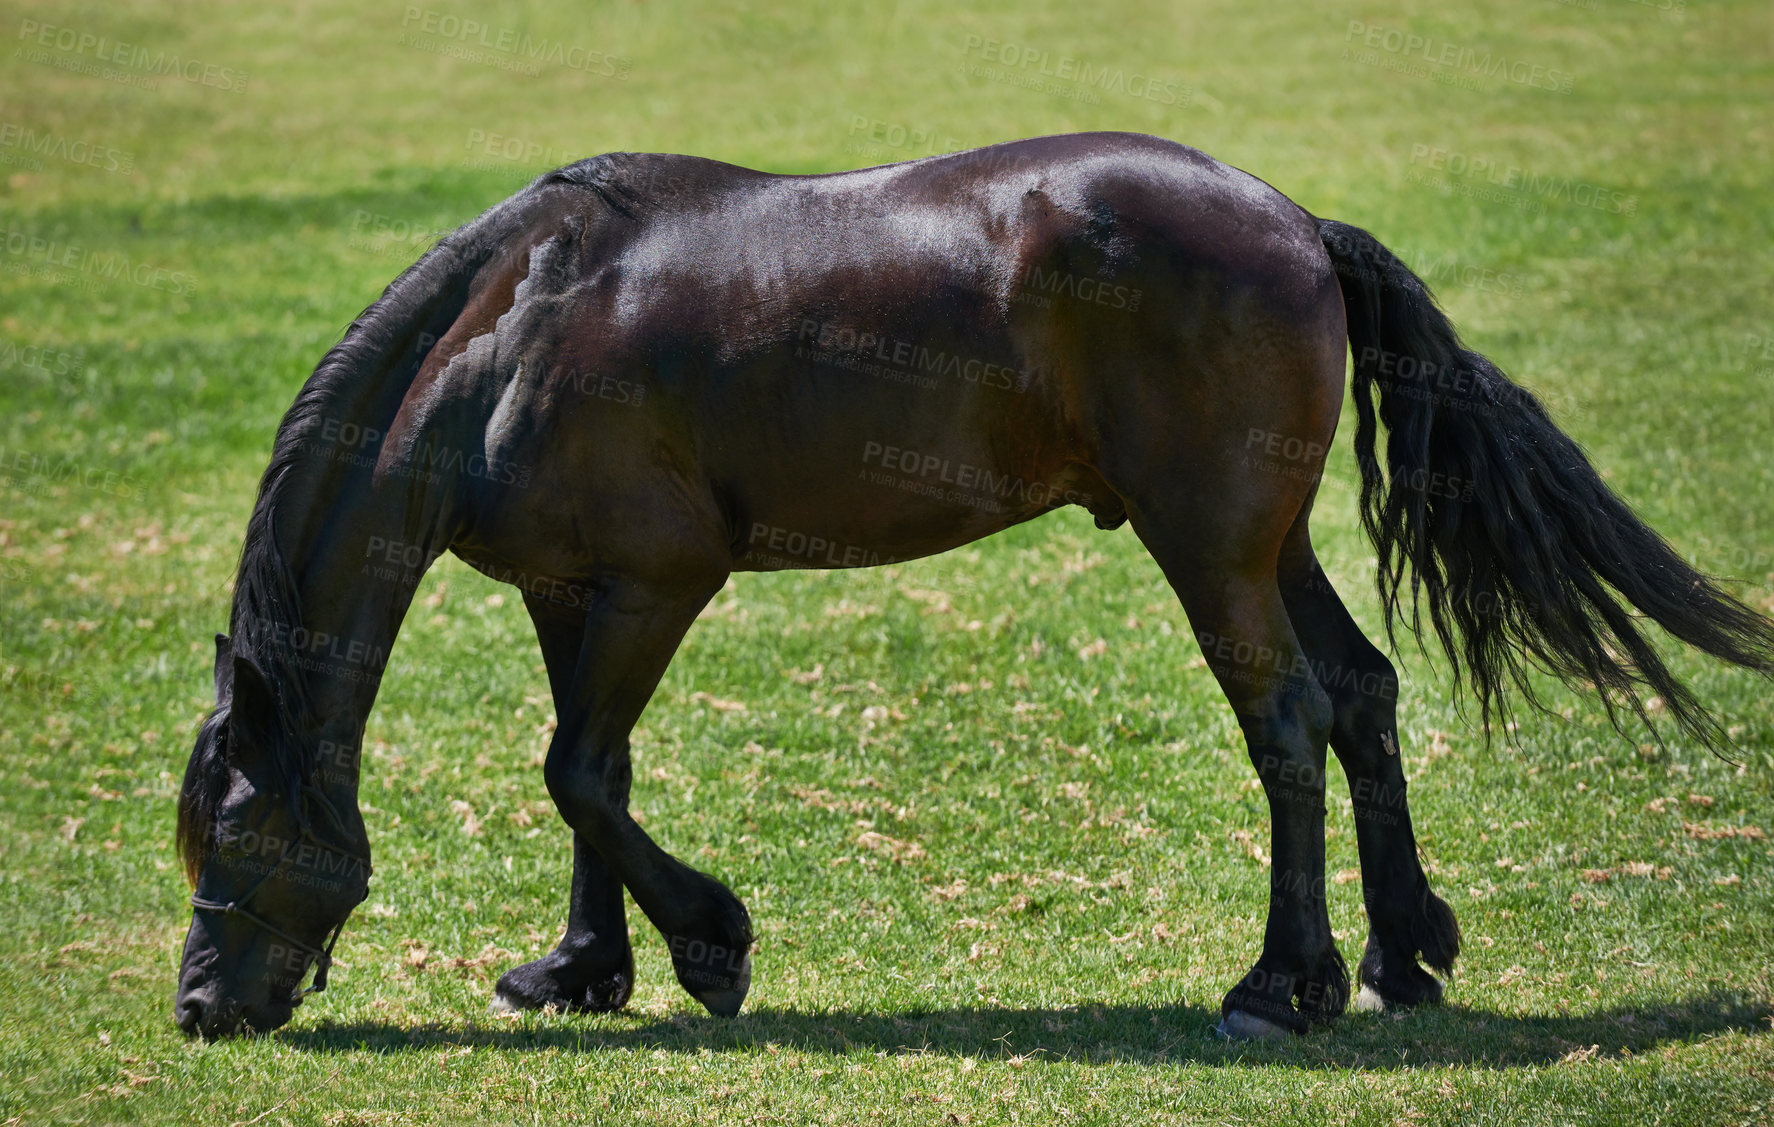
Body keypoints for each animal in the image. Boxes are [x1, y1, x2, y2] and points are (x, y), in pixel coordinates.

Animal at [169, 132, 1774, 1043]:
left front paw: (712, 942)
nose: (197, 1009)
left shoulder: (658, 582)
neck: (515, 333)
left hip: (1208, 550)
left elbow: (577, 773)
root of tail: (1296, 223)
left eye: (232, 841)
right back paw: (1397, 956)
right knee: (1365, 696)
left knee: (1292, 724)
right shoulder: (573, 590)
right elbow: (587, 778)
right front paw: (578, 970)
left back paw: (1281, 986)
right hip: (1264, 541)